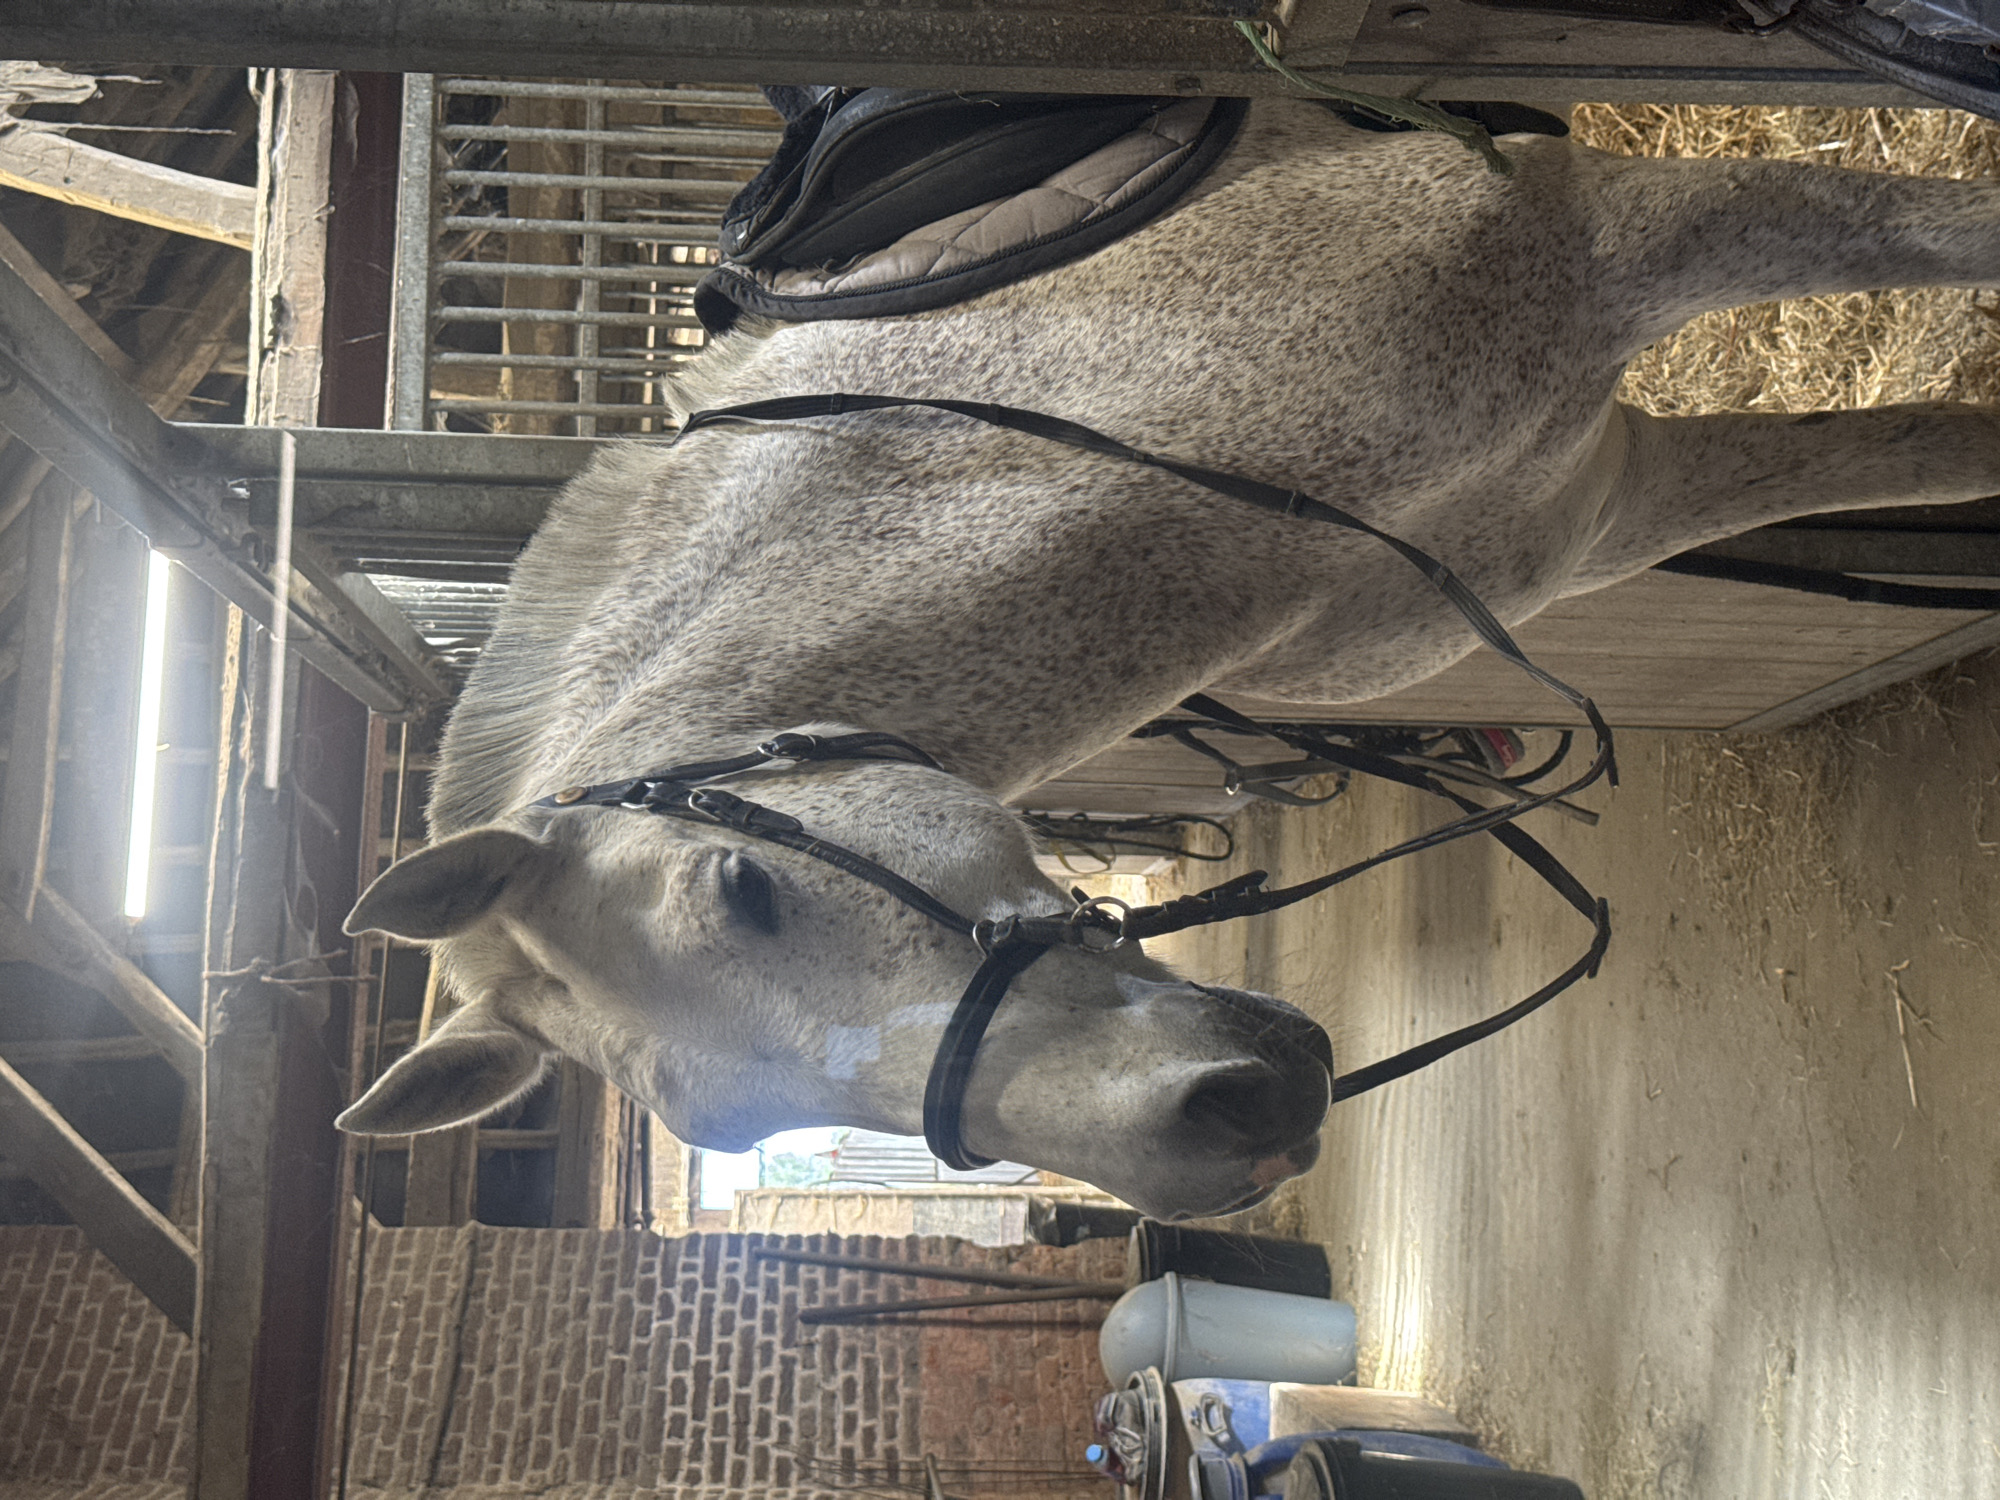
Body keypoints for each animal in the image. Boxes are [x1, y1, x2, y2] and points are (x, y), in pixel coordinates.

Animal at [335, 99, 2000, 1222]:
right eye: (728, 1131)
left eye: (745, 889)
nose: (1226, 1126)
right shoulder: (1604, 504)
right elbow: (1943, 448)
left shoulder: (1612, 235)